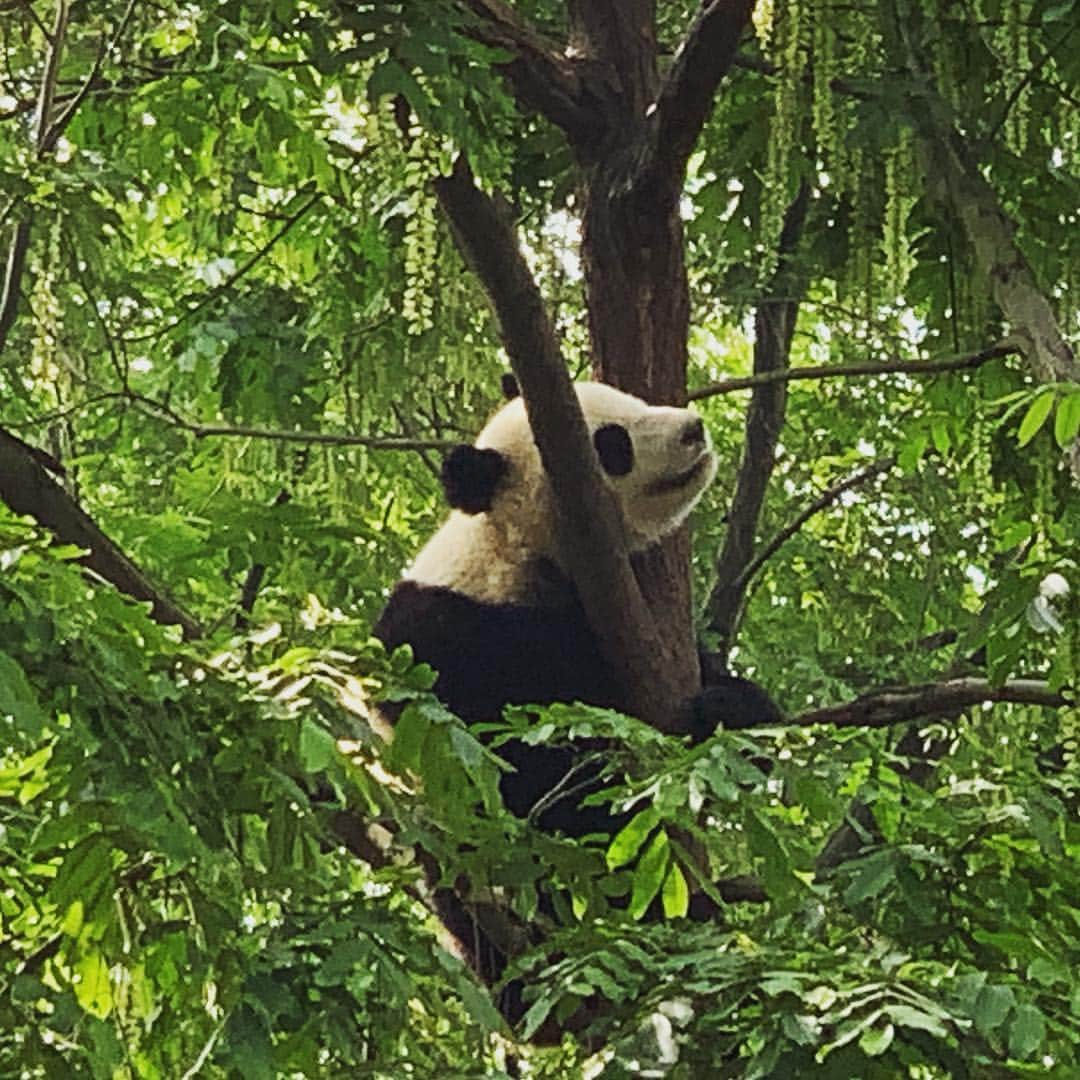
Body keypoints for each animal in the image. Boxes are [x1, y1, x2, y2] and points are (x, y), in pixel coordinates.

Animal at [371, 380, 777, 833]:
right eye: (612, 444)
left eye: (631, 400)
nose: (694, 428)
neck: (511, 543)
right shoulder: (454, 643)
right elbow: (524, 755)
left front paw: (730, 708)